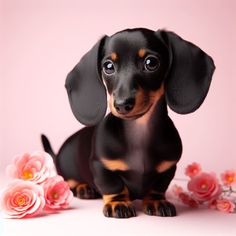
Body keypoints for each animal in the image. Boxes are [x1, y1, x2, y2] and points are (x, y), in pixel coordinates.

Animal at [41, 28, 215, 218]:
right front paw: (118, 203)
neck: (139, 132)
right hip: (68, 168)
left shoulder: (169, 167)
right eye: (108, 66)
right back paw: (84, 188)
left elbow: (158, 186)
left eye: (151, 62)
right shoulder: (101, 165)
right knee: (70, 182)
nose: (122, 104)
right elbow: (113, 185)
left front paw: (156, 201)